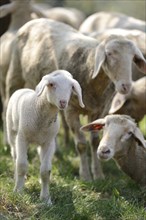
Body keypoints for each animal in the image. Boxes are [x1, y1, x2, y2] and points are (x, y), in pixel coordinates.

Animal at [4, 18, 146, 180]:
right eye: (109, 54)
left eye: (133, 57)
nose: (126, 86)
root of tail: (38, 19)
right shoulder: (71, 110)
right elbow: (81, 144)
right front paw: (85, 176)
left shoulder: (99, 110)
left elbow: (94, 142)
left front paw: (98, 175)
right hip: (15, 74)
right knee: (6, 105)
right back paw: (6, 142)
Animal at [6, 70, 84, 205]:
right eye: (52, 84)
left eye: (71, 87)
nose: (63, 102)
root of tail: (23, 89)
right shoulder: (22, 138)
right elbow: (21, 165)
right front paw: (18, 192)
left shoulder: (49, 142)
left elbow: (45, 171)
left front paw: (46, 199)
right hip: (12, 133)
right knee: (15, 156)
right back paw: (17, 178)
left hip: (41, 142)